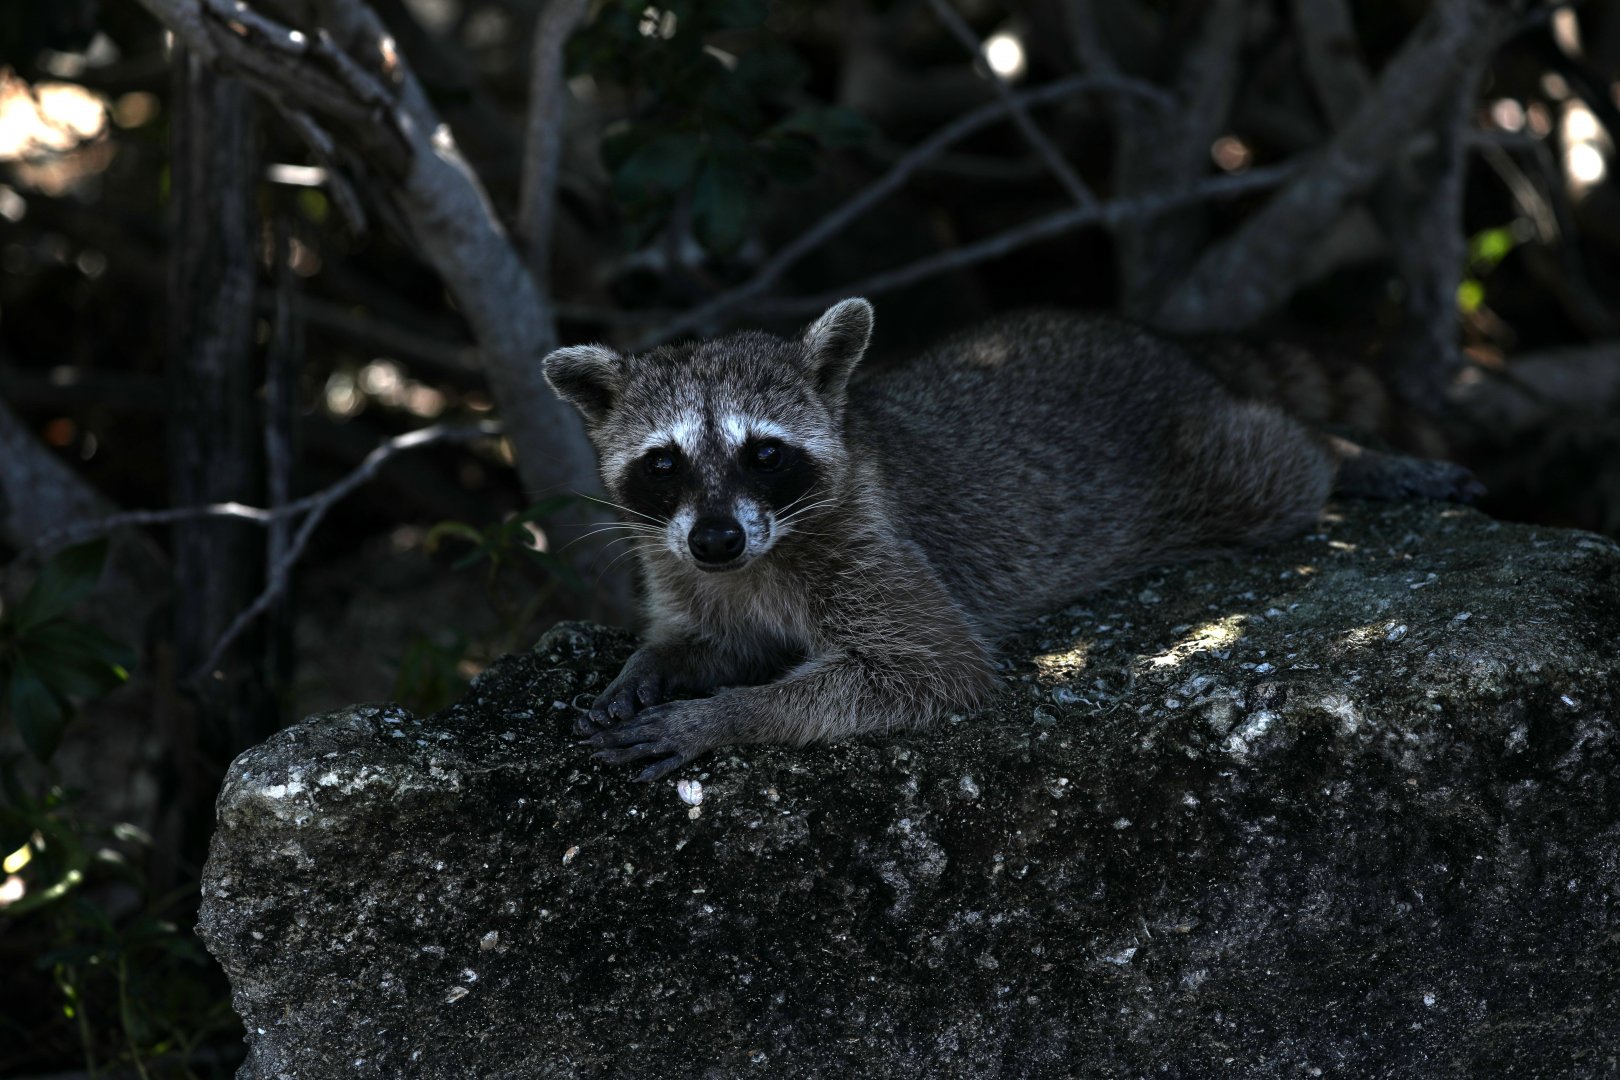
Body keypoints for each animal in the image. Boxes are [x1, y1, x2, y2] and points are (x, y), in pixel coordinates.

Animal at [543, 300, 1479, 780]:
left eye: (764, 454)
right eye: (663, 464)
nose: (715, 540)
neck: (759, 557)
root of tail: (1149, 341)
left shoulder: (872, 545)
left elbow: (926, 667)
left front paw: (726, 715)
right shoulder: (678, 563)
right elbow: (705, 636)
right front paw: (655, 667)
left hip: (1206, 466)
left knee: (1277, 459)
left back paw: (1343, 453)